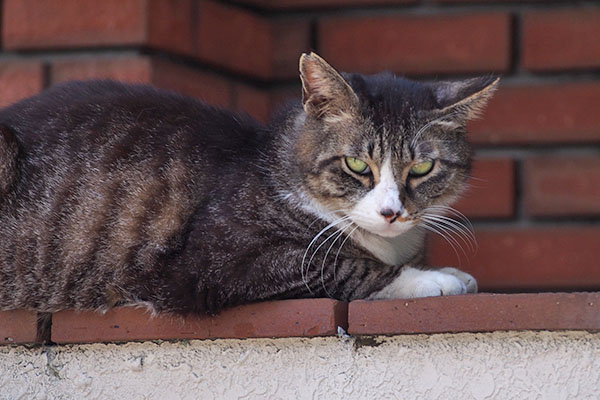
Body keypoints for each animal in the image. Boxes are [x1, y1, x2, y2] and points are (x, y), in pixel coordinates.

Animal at [0, 53, 496, 316]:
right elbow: (341, 267)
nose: (392, 212)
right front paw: (434, 279)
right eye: (357, 164)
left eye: (422, 168)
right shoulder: (216, 260)